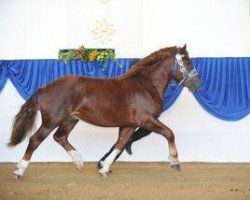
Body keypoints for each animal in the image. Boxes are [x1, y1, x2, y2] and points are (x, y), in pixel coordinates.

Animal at [9, 44, 199, 177]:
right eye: (188, 62)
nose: (198, 83)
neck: (145, 86)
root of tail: (44, 88)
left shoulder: (130, 125)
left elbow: (120, 144)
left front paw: (104, 168)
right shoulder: (146, 120)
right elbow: (169, 133)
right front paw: (175, 162)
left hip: (71, 119)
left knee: (60, 137)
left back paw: (78, 161)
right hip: (52, 121)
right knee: (35, 140)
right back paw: (20, 170)